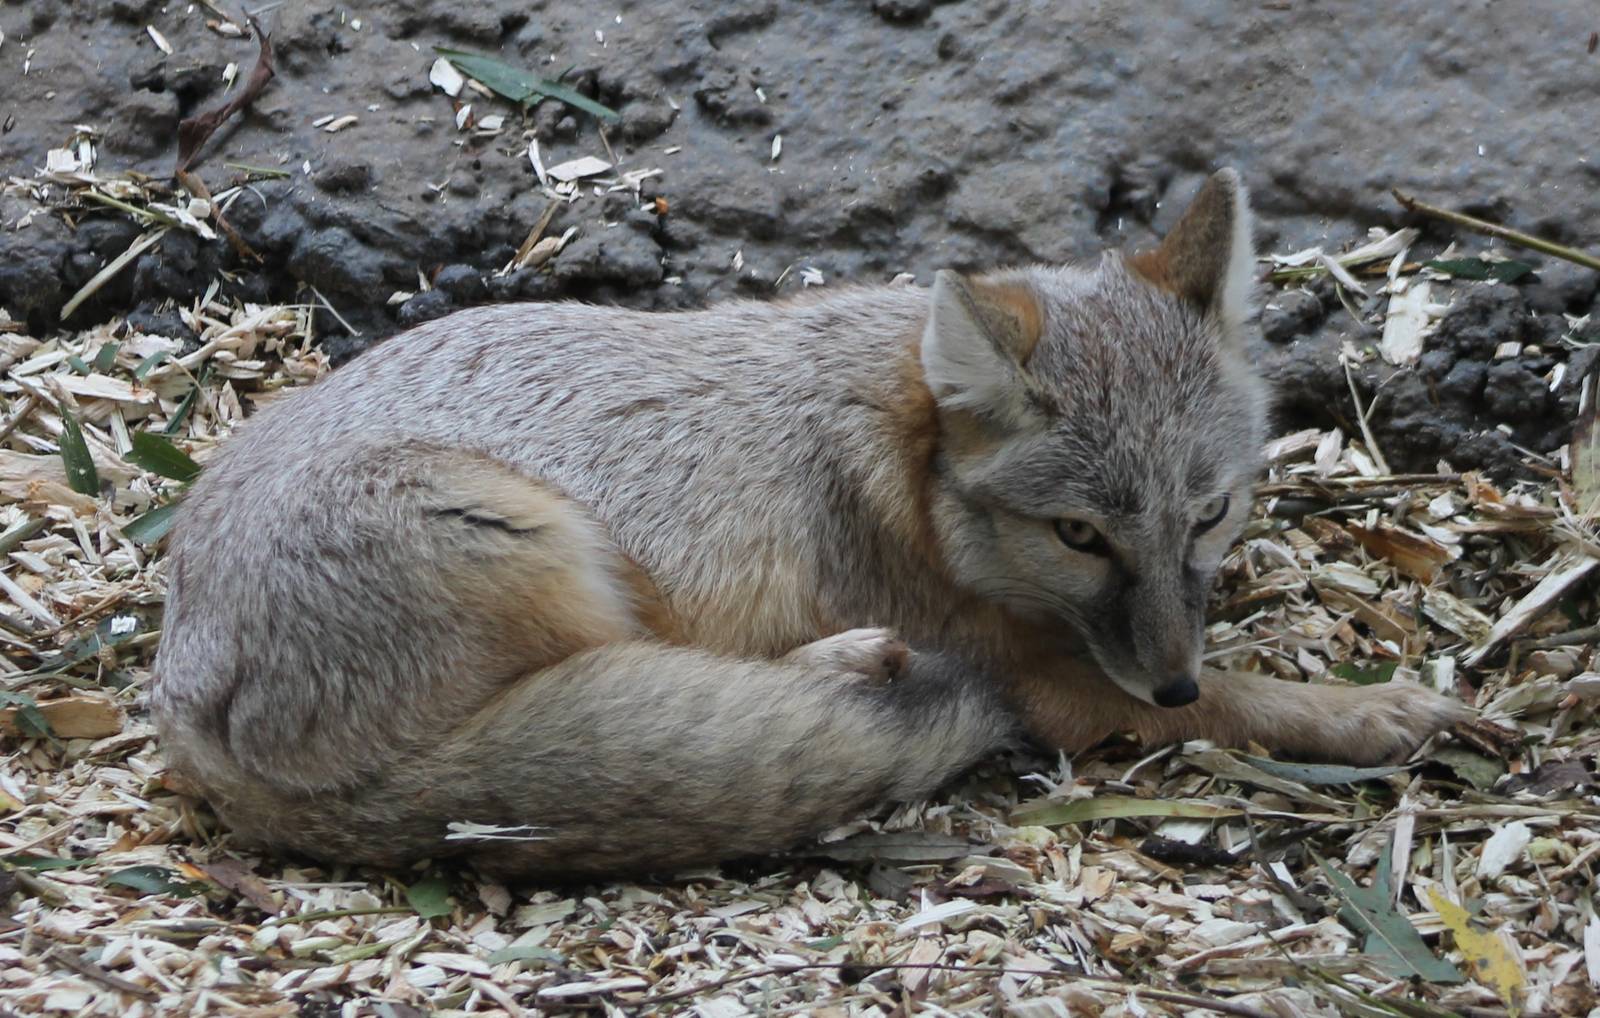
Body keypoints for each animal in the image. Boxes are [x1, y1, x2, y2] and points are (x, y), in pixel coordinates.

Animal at [150, 170, 1468, 878]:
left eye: (1208, 515)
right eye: (1079, 536)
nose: (1172, 681)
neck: (902, 449)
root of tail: (183, 695)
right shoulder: (1054, 679)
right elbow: (1244, 706)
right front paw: (1363, 711)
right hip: (541, 547)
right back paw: (841, 667)